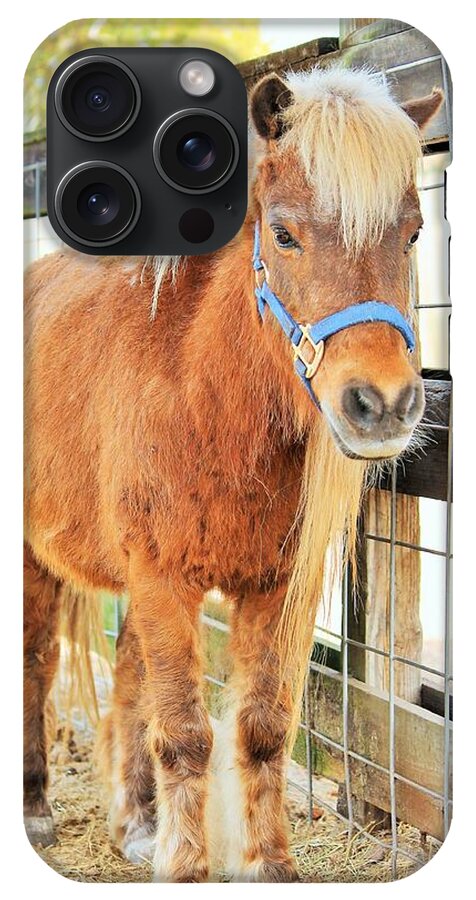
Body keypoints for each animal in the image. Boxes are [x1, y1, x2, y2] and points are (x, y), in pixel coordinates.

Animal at [23, 65, 442, 882]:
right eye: (282, 233)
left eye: (412, 233)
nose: (382, 405)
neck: (204, 394)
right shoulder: (163, 577)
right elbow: (186, 734)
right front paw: (187, 869)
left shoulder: (274, 588)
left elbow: (261, 728)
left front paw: (267, 866)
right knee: (36, 663)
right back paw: (35, 808)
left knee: (129, 678)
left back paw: (136, 822)